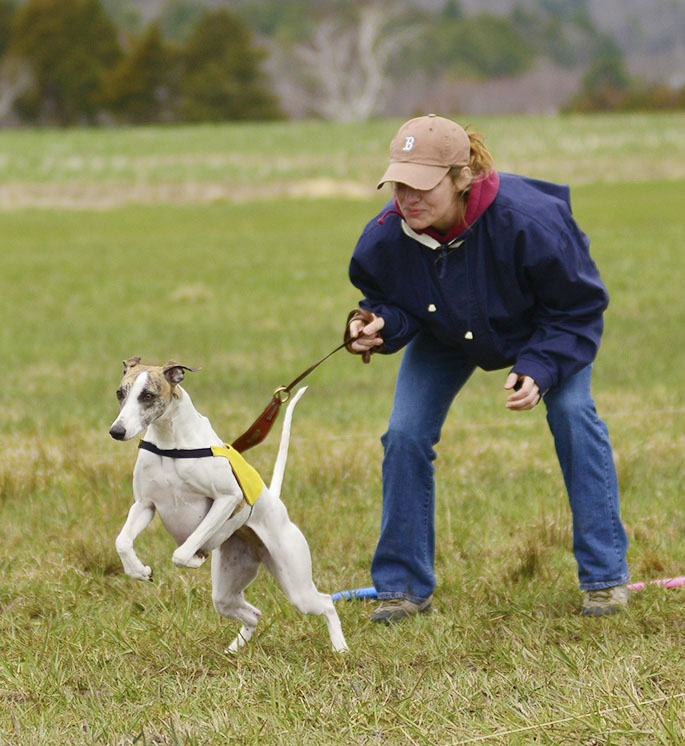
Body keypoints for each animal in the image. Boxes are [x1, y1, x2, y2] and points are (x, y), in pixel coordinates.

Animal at [110, 356, 350, 652]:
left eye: (147, 396)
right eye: (120, 393)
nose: (116, 431)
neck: (170, 444)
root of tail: (276, 501)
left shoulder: (229, 499)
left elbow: (182, 552)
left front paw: (195, 557)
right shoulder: (145, 505)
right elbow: (122, 542)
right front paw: (139, 570)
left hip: (298, 586)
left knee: (326, 602)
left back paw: (340, 648)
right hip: (227, 590)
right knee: (253, 614)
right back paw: (233, 650)